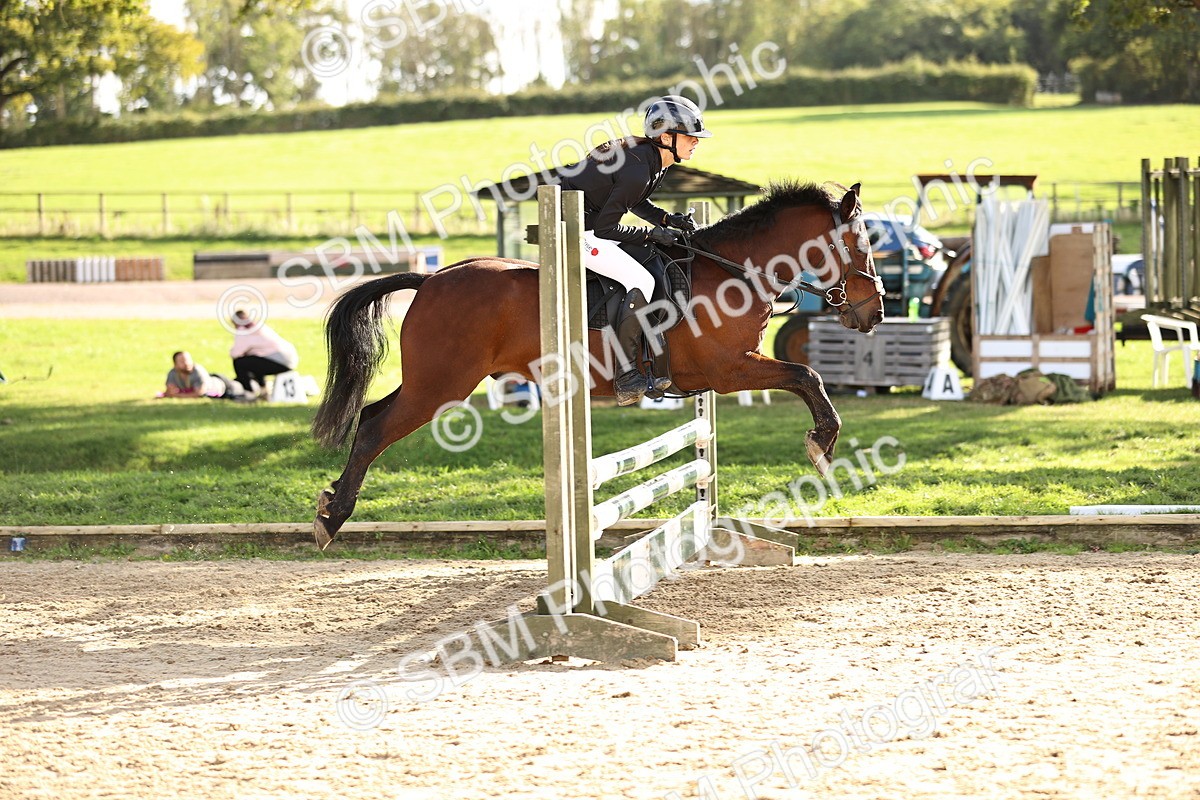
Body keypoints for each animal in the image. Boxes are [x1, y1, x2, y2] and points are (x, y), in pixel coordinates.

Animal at [310, 180, 885, 548]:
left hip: (432, 383)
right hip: (440, 386)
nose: (874, 311)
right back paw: (333, 518)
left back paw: (333, 505)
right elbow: (807, 375)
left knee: (370, 415)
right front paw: (823, 444)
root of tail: (430, 279)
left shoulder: (725, 374)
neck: (732, 271)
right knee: (375, 427)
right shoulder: (727, 370)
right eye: (859, 244)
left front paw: (822, 442)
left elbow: (804, 378)